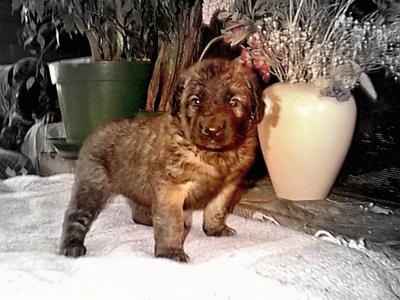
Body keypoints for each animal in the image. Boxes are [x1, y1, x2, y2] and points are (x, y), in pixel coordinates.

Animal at [59, 57, 266, 262]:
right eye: (196, 100)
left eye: (233, 101)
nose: (212, 130)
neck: (214, 156)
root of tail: (93, 133)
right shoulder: (171, 188)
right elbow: (171, 223)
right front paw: (170, 252)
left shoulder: (227, 186)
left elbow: (217, 209)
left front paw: (215, 229)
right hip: (92, 186)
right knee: (76, 216)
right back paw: (72, 246)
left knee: (138, 210)